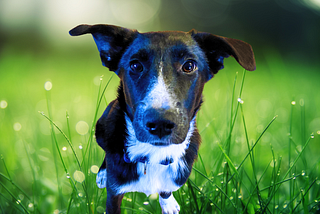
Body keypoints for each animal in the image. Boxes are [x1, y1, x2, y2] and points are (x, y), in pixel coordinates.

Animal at [69, 24, 255, 213]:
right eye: (135, 65)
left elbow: (166, 189)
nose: (160, 124)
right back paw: (102, 175)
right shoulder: (114, 193)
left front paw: (168, 203)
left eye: (189, 66)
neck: (153, 155)